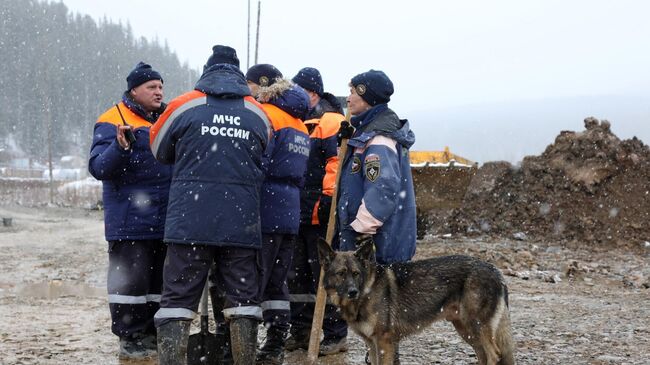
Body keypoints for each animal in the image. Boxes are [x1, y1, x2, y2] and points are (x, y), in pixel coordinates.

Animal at [316, 236, 512, 364]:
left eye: (356, 274)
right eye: (341, 274)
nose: (353, 292)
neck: (367, 290)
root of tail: (496, 271)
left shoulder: (384, 342)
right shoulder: (372, 344)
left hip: (476, 326)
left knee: (494, 355)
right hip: (466, 330)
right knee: (483, 355)